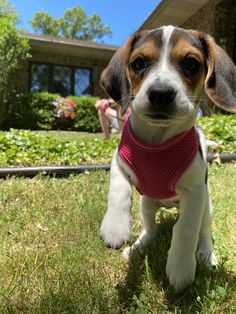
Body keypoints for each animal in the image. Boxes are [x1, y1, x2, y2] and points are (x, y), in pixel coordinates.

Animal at [99, 25, 236, 290]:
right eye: (139, 63)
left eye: (191, 63)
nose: (160, 94)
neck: (158, 142)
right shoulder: (119, 161)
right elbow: (119, 190)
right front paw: (115, 227)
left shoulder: (195, 193)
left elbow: (185, 230)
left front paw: (180, 268)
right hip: (147, 203)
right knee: (151, 229)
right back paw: (137, 247)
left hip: (206, 207)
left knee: (203, 232)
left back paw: (206, 256)